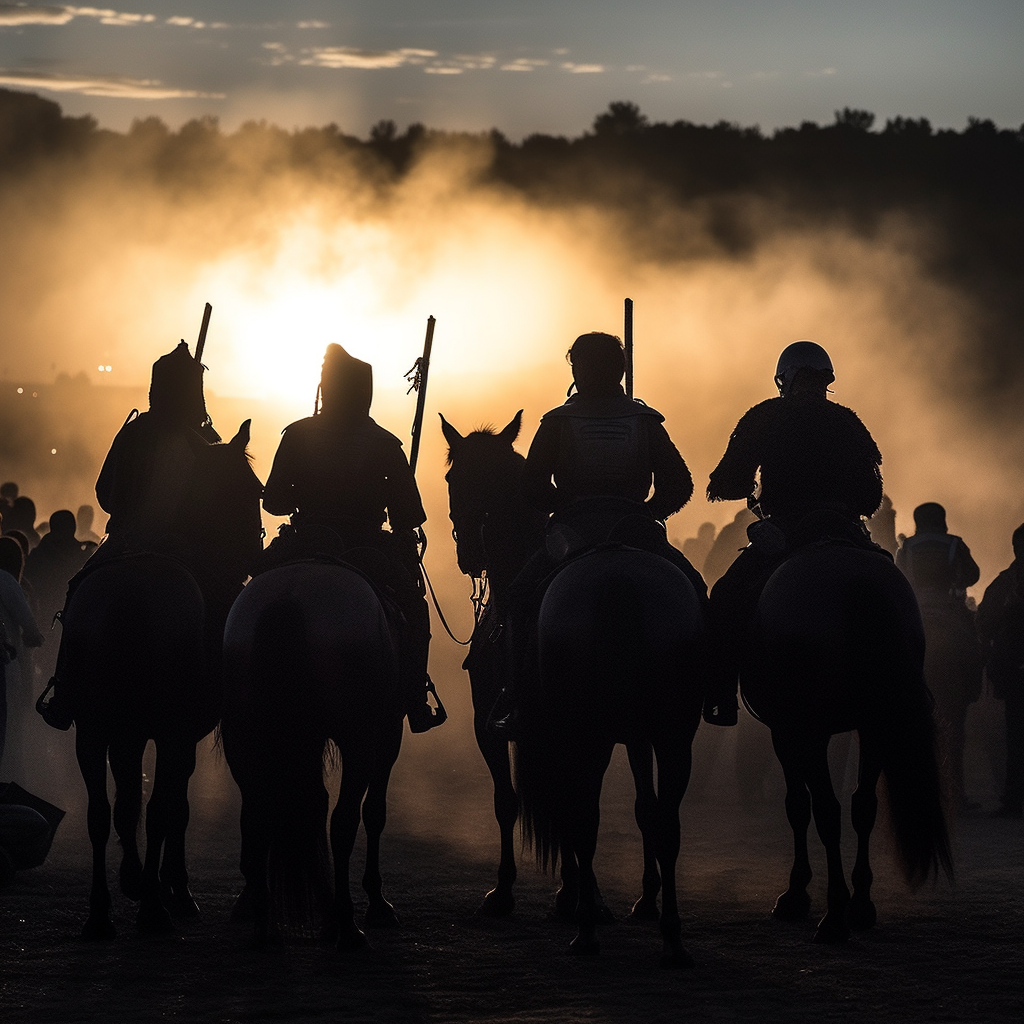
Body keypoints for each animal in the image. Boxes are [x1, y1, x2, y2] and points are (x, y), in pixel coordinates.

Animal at [62, 421, 264, 937]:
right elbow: (173, 807)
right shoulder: (179, 732)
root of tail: (128, 600)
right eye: (253, 491)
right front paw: (173, 888)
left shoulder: (129, 732)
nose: (254, 556)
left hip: (93, 728)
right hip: (159, 729)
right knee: (155, 811)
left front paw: (136, 879)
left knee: (101, 812)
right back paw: (154, 911)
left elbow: (128, 804)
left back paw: (102, 912)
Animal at [223, 557, 403, 946]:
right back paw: (347, 926)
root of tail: (290, 596)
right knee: (344, 822)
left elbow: (312, 805)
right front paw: (377, 903)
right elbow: (374, 813)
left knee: (259, 816)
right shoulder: (388, 733)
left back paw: (267, 927)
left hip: (242, 739)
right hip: (359, 740)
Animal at [440, 411, 704, 962]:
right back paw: (659, 920)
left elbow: (516, 802)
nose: (467, 555)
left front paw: (514, 893)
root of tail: (620, 575)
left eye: (452, 479)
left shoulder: (490, 723)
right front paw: (575, 893)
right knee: (657, 815)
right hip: (661, 730)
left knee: (593, 814)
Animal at [741, 544, 954, 942]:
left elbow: (798, 805)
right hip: (875, 725)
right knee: (862, 805)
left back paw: (834, 915)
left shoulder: (787, 729)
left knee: (828, 810)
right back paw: (860, 905)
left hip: (810, 729)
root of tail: (856, 580)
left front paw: (796, 893)